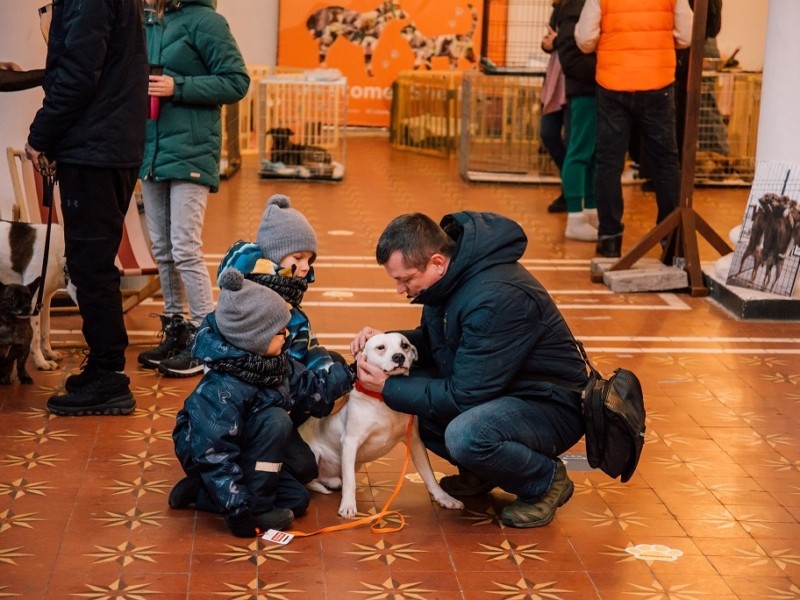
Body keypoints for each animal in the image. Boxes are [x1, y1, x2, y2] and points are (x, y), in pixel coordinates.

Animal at [0, 220, 75, 370]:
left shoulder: (45, 298)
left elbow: (45, 330)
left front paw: (49, 354)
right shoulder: (33, 301)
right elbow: (35, 336)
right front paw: (41, 362)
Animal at [298, 330, 462, 516]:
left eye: (404, 345)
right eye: (381, 347)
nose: (398, 357)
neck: (382, 398)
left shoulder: (415, 442)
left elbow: (429, 475)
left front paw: (444, 498)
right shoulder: (350, 442)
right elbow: (350, 482)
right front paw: (348, 505)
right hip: (314, 454)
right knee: (312, 480)